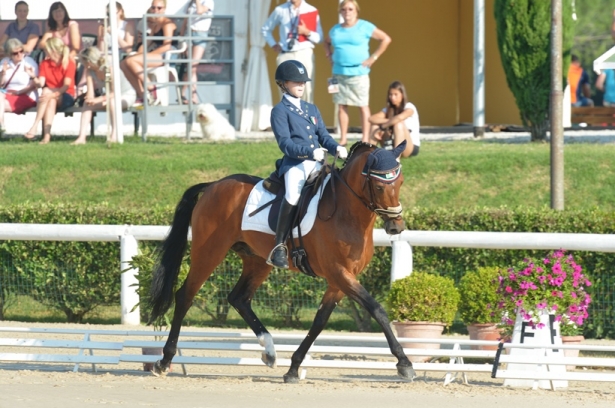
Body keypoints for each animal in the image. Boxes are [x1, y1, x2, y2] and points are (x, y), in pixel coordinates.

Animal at [150, 141, 418, 382]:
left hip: (258, 261)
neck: (347, 212)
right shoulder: (339, 273)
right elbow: (377, 309)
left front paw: (293, 368)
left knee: (239, 298)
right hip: (209, 252)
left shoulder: (340, 279)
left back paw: (269, 350)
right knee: (185, 296)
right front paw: (404, 364)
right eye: (380, 186)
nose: (396, 227)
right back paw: (164, 361)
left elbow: (320, 321)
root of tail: (213, 185)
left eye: (401, 182)